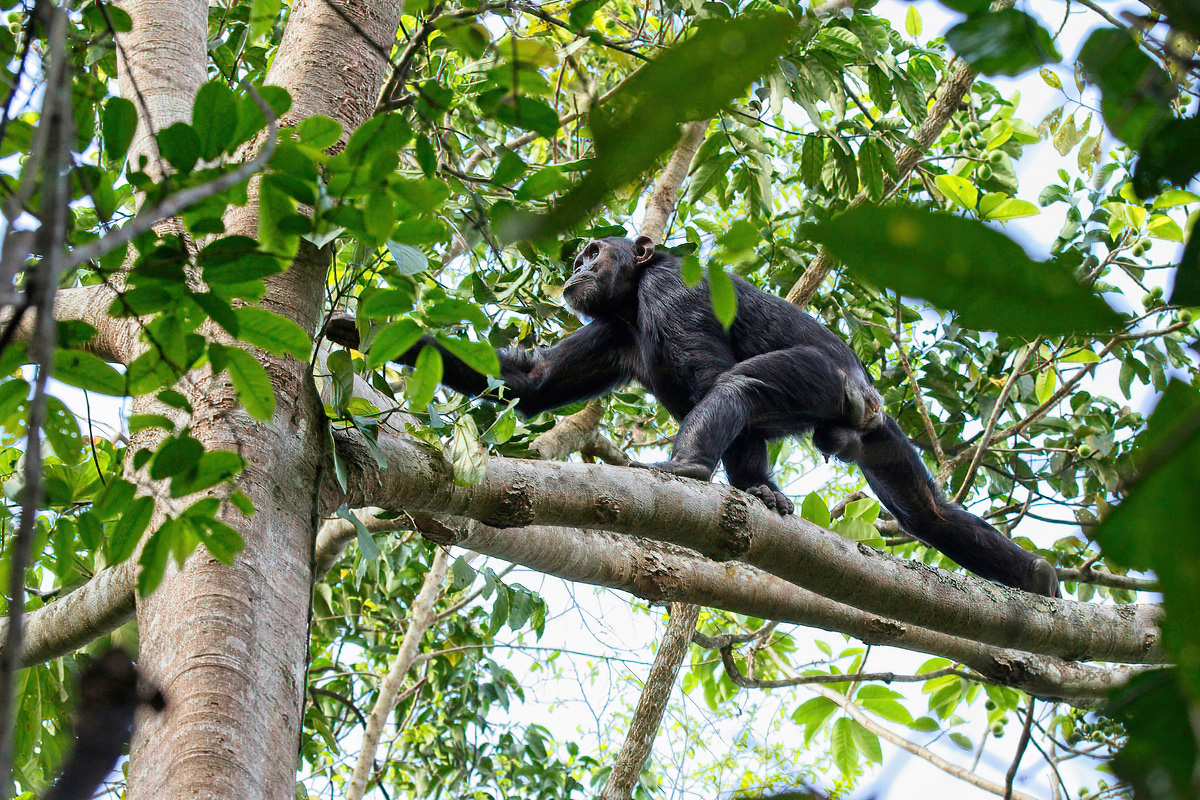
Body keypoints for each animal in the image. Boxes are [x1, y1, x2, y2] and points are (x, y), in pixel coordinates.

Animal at [326, 235, 1060, 597]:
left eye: (594, 252)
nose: (575, 269)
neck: (629, 299)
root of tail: (866, 392)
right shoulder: (610, 330)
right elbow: (530, 383)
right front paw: (359, 328)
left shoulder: (670, 291)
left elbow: (710, 375)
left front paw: (736, 484)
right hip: (875, 430)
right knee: (925, 512)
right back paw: (1035, 578)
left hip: (826, 379)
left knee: (740, 386)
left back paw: (688, 472)